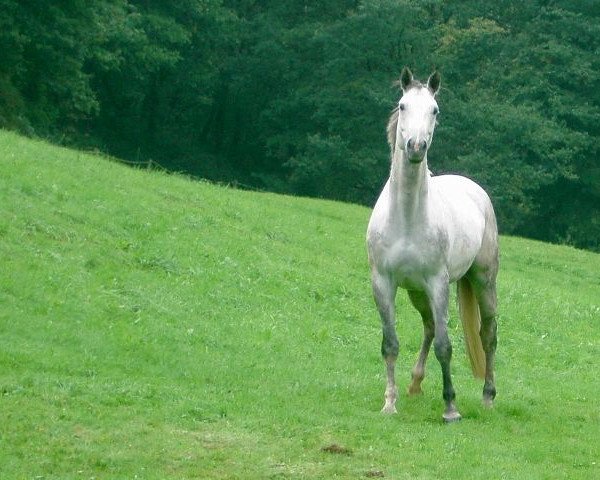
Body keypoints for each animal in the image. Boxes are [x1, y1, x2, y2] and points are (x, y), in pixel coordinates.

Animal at [368, 68, 500, 424]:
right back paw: (414, 384)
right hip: (416, 291)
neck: (407, 218)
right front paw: (389, 403)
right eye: (402, 106)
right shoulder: (383, 283)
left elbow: (445, 345)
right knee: (427, 327)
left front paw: (451, 408)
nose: (416, 146)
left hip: (483, 281)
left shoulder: (437, 283)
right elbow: (389, 344)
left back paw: (488, 397)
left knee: (487, 335)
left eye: (435, 110)